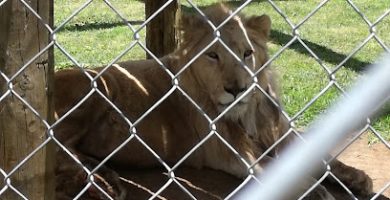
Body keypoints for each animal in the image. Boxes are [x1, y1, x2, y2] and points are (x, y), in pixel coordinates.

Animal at [53, 3, 374, 200]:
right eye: (213, 55)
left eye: (247, 53)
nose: (237, 89)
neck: (249, 113)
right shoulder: (235, 153)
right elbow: (283, 170)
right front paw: (317, 192)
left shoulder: (279, 132)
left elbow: (320, 155)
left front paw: (356, 177)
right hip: (95, 86)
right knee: (57, 148)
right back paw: (104, 182)